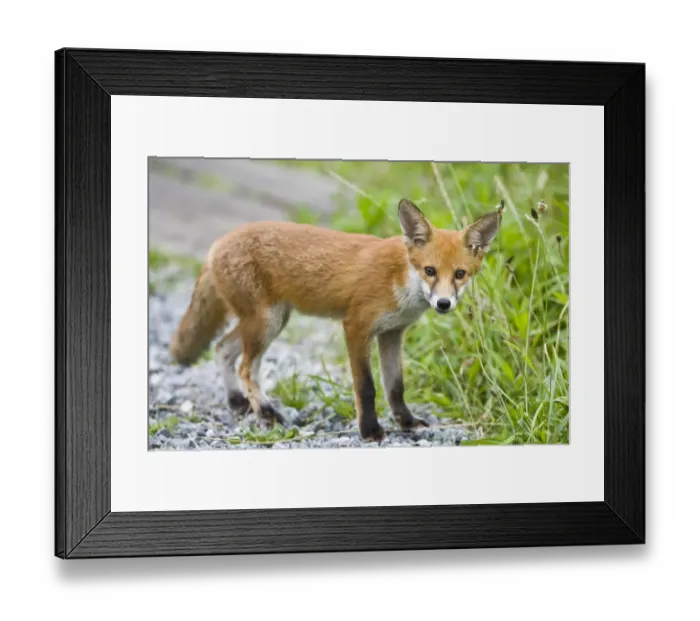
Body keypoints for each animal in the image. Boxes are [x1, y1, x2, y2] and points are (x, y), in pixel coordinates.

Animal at [168, 198, 503, 443]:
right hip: (265, 324)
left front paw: (406, 422)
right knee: (245, 368)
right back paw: (265, 413)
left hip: (271, 321)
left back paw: (238, 403)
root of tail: (218, 242)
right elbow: (366, 387)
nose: (444, 303)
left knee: (222, 348)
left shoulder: (392, 333)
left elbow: (395, 387)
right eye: (430, 271)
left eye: (460, 274)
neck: (400, 279)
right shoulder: (356, 327)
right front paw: (370, 431)